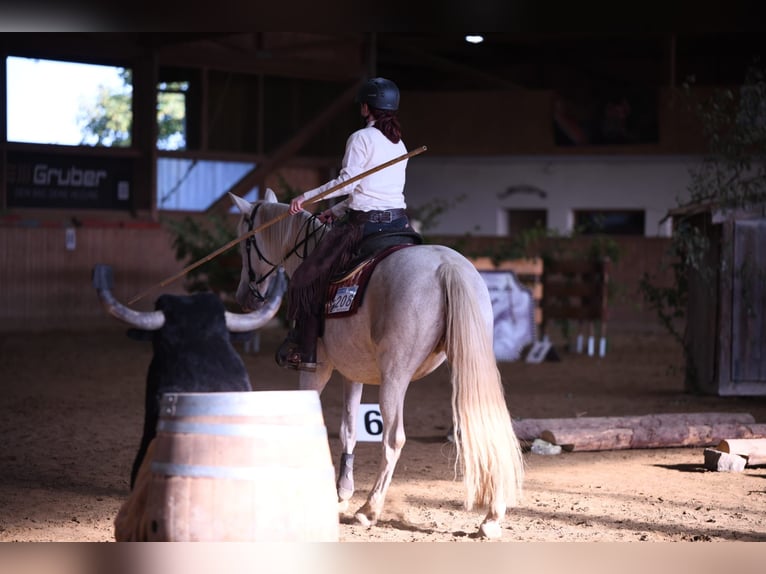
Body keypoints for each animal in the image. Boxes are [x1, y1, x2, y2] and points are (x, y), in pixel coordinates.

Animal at [230, 189, 524, 539]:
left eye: (245, 243)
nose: (245, 297)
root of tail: (446, 266)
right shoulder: (352, 373)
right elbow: (348, 429)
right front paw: (342, 491)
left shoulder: (317, 369)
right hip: (471, 365)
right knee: (486, 426)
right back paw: (491, 517)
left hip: (395, 376)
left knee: (394, 438)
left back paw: (369, 509)